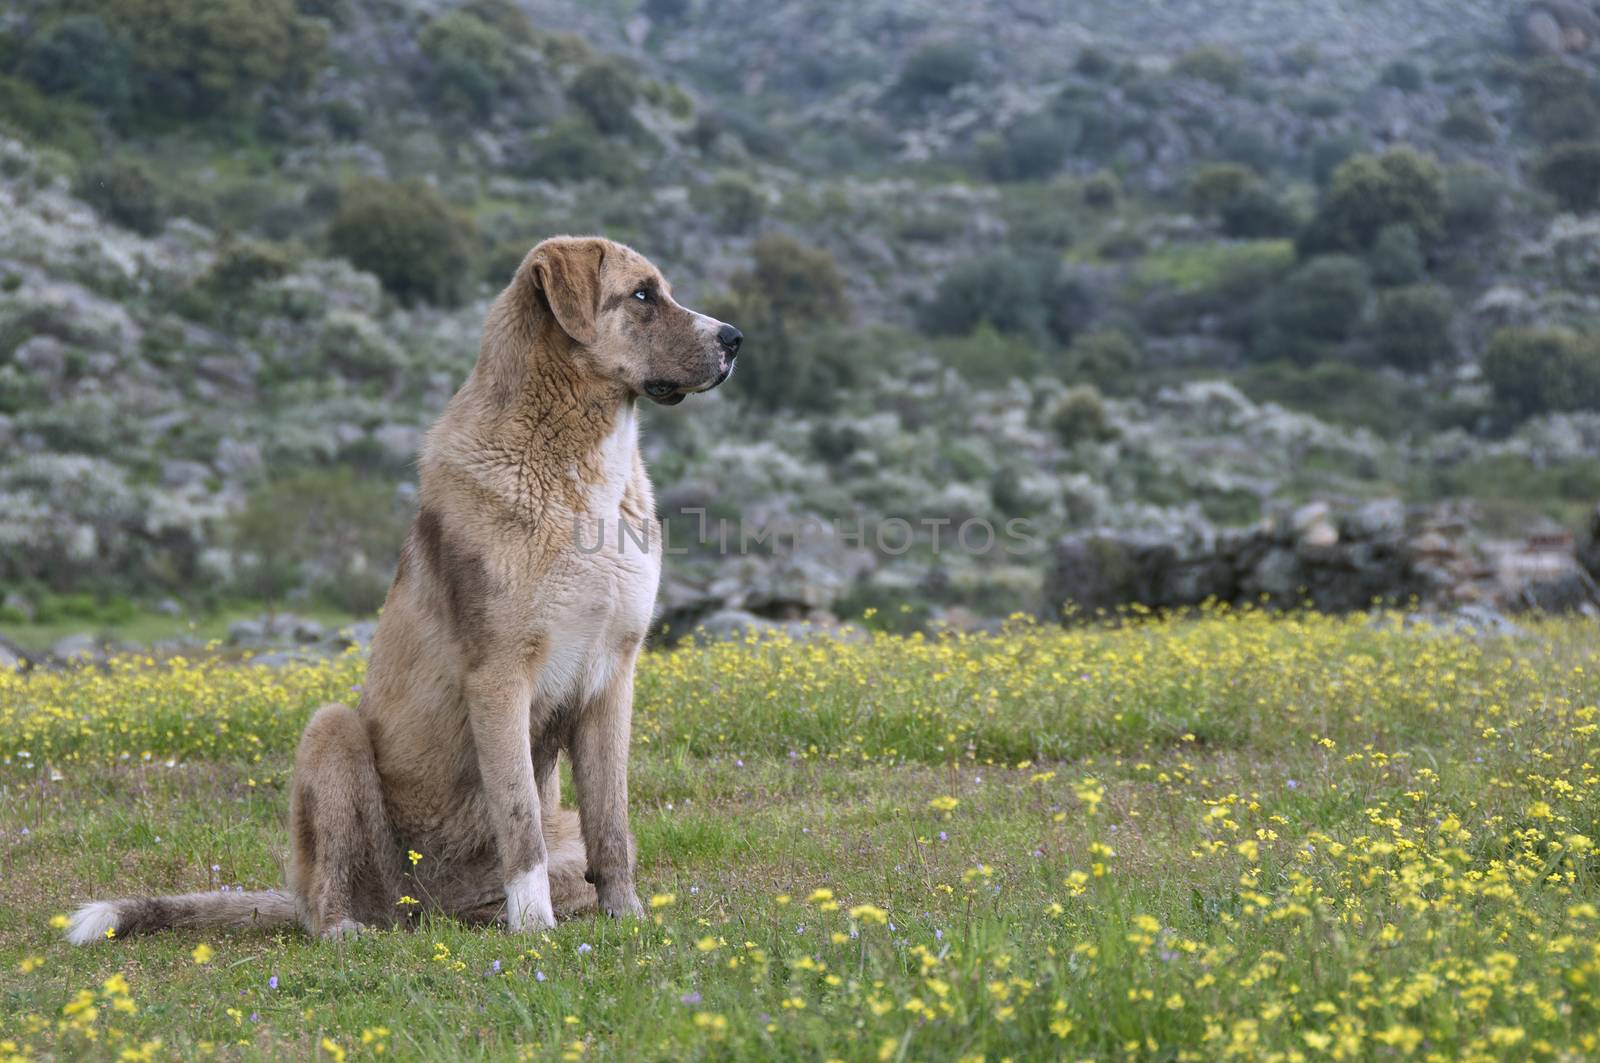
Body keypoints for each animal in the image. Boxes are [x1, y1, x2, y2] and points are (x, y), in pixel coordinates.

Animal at [68, 236, 742, 941]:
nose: (736, 339)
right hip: (333, 734)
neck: (578, 459)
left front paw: (627, 917)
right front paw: (535, 929)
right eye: (641, 295)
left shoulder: (613, 677)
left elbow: (613, 823)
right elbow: (519, 818)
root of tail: (427, 913)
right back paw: (352, 928)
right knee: (330, 896)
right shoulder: (500, 676)